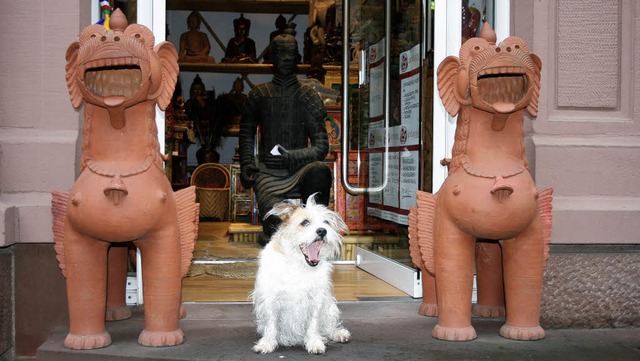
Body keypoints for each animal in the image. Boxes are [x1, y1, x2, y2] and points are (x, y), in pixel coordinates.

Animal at [250, 194, 350, 354]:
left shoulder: (316, 300)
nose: (323, 231)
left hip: (329, 306)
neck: (299, 265)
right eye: (305, 222)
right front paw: (267, 344)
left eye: (326, 222)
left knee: (328, 327)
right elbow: (271, 325)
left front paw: (314, 343)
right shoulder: (271, 300)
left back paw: (336, 334)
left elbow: (313, 324)